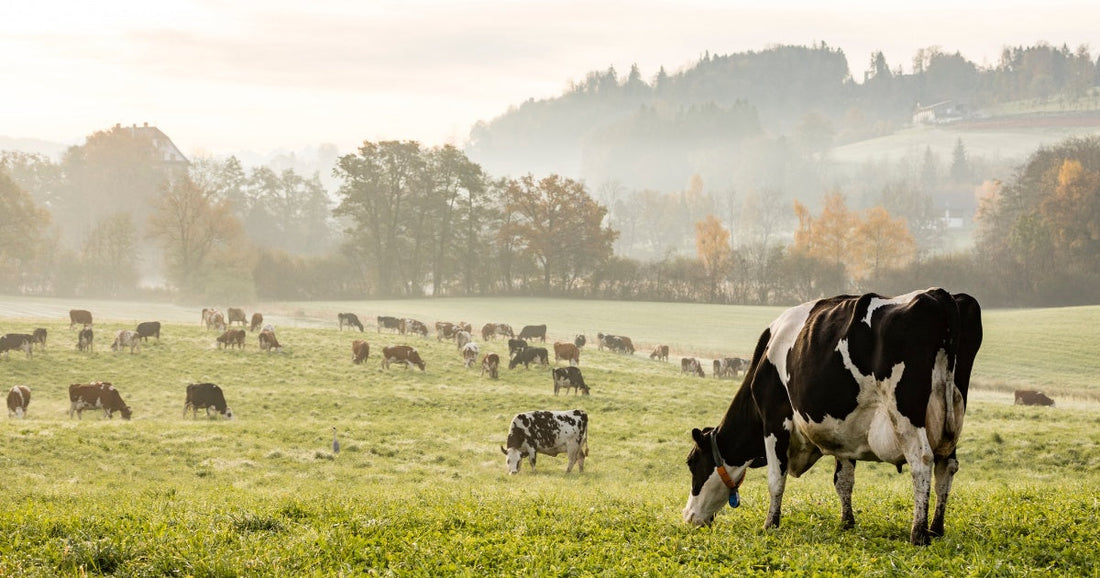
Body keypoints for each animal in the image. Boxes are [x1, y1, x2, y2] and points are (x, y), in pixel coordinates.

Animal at [682, 288, 985, 546]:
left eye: (692, 462)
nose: (688, 516)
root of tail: (938, 294)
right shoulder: (845, 432)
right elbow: (843, 480)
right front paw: (847, 523)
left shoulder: (774, 420)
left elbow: (775, 479)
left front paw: (770, 524)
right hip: (952, 418)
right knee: (946, 467)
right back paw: (936, 529)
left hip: (906, 413)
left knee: (921, 461)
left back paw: (918, 533)